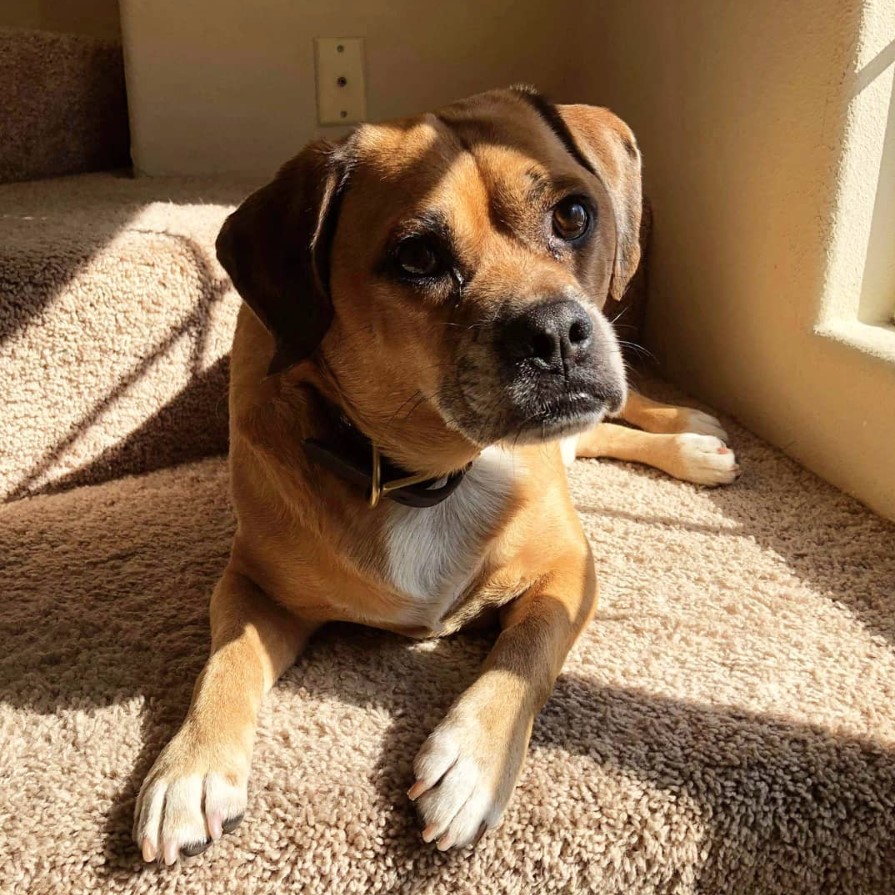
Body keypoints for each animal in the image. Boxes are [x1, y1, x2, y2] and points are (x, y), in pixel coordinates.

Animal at [131, 87, 736, 864]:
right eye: (418, 256)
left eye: (573, 216)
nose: (556, 333)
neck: (430, 471)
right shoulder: (251, 584)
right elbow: (226, 662)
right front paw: (192, 767)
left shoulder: (568, 569)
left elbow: (524, 654)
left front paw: (473, 762)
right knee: (595, 435)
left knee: (624, 411)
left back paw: (695, 437)